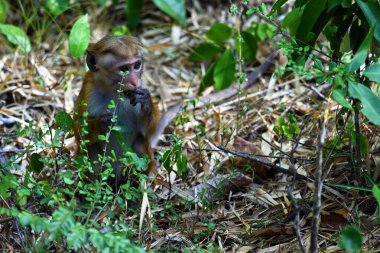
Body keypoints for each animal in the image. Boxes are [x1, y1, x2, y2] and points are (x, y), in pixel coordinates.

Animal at [74, 35, 159, 190]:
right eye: (124, 68)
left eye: (137, 65)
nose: (135, 81)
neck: (113, 92)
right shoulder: (89, 91)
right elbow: (79, 134)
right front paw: (101, 122)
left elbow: (148, 133)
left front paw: (146, 102)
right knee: (91, 150)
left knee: (140, 144)